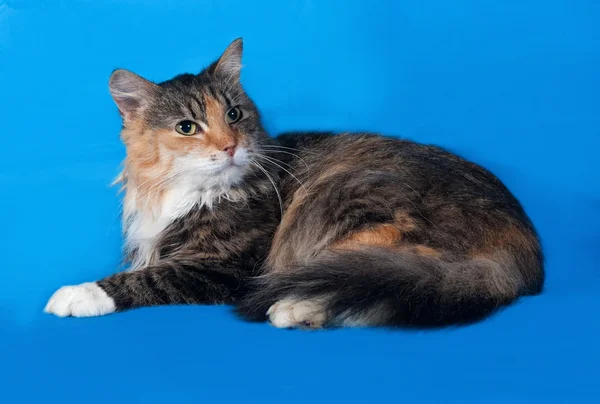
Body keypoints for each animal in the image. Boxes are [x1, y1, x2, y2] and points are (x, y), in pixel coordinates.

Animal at [45, 38, 544, 328]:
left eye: (233, 115)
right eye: (187, 127)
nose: (230, 146)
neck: (183, 193)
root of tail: (523, 246)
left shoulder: (223, 267)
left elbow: (147, 278)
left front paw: (78, 294)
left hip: (345, 205)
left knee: (377, 281)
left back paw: (294, 308)